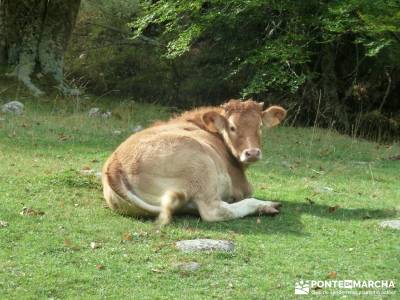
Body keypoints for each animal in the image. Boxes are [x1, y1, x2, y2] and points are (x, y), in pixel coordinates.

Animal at [101, 99, 286, 224]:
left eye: (260, 126)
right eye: (232, 127)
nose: (252, 153)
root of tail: (114, 166)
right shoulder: (241, 187)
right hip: (202, 167)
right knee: (214, 212)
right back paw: (265, 205)